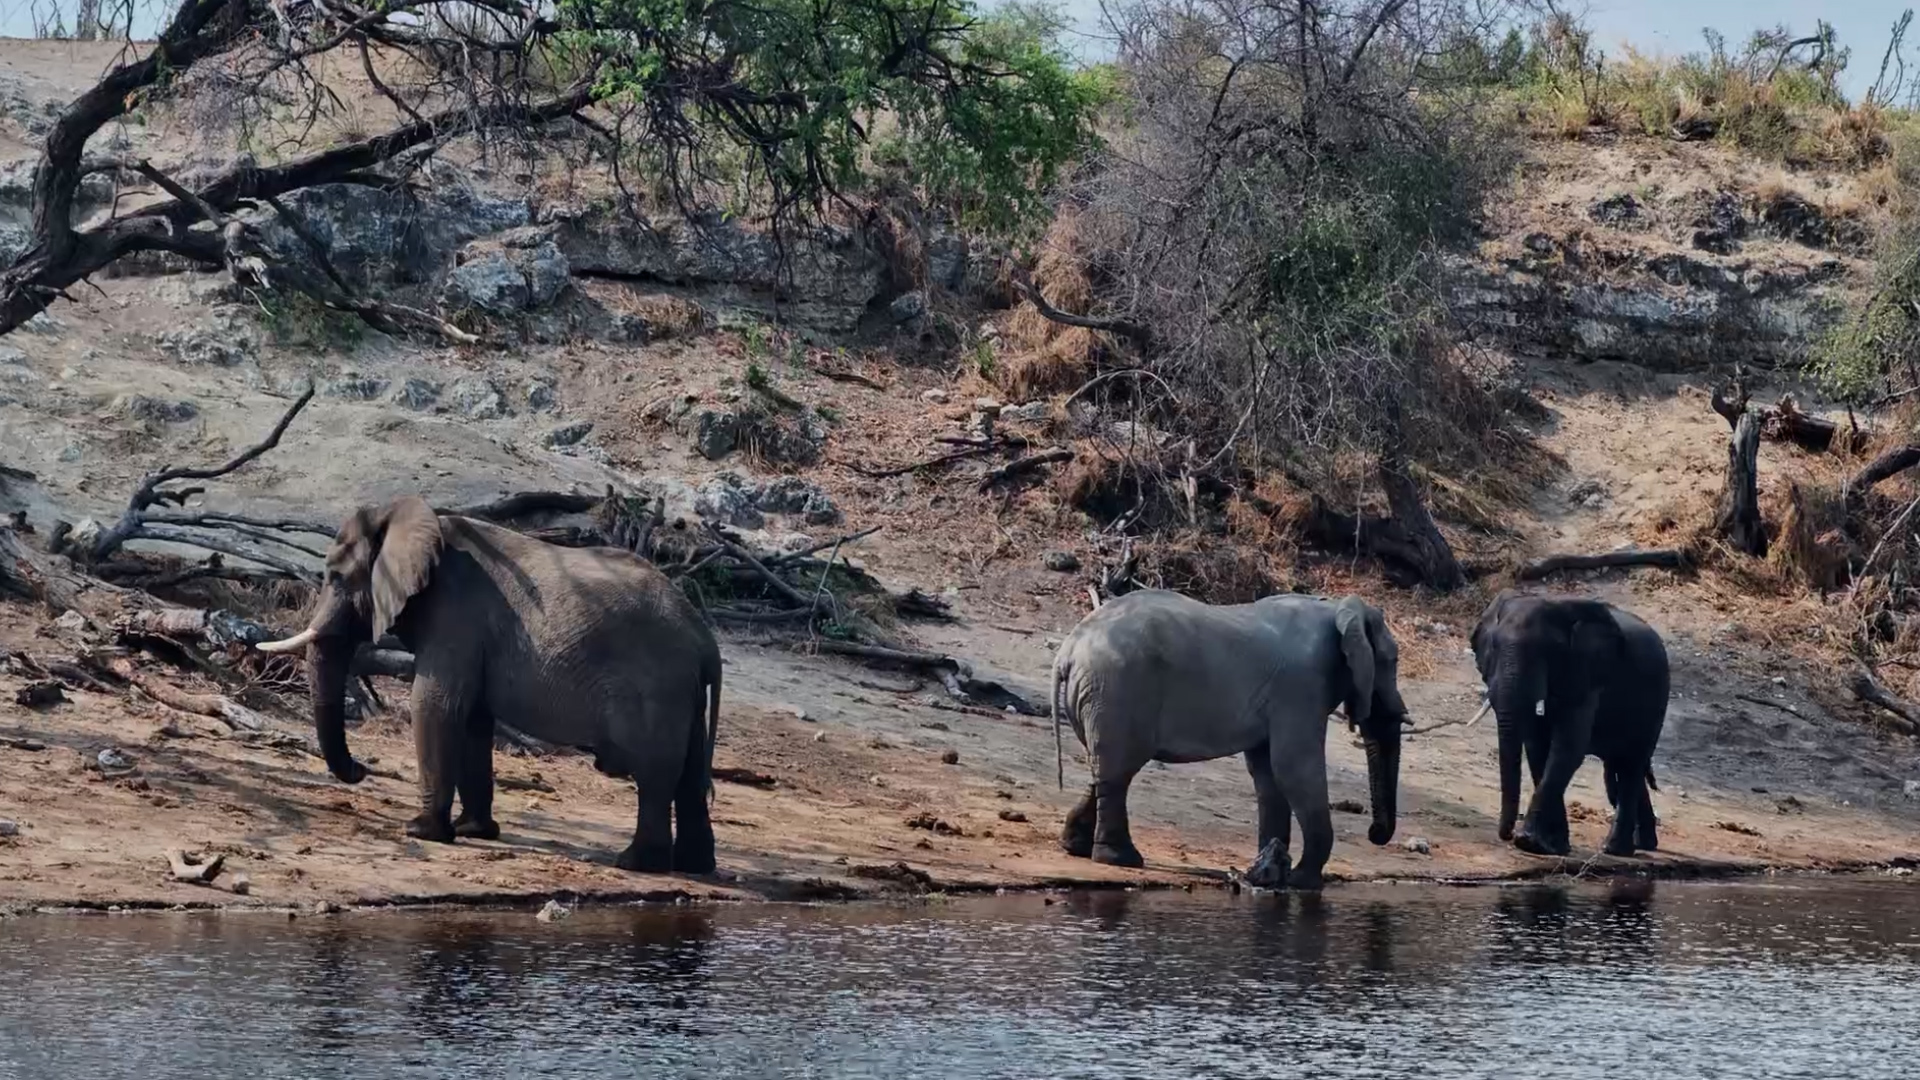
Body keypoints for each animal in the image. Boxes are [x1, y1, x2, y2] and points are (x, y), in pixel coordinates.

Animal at [256, 495, 722, 874]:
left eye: (335, 577)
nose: (361, 769)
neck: (413, 517)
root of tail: (706, 641)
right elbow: (473, 720)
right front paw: (473, 831)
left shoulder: (455, 616)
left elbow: (435, 705)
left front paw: (420, 832)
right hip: (683, 695)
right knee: (689, 774)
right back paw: (694, 866)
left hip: (659, 689)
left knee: (656, 775)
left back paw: (636, 863)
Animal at [1050, 589, 1411, 889]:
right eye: (1392, 661)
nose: (1374, 834)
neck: (1337, 608)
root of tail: (1068, 651)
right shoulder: (1301, 686)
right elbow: (1294, 769)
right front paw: (1303, 882)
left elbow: (1268, 775)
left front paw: (1272, 873)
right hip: (1118, 690)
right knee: (1119, 768)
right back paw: (1122, 859)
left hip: (1100, 697)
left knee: (1106, 769)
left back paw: (1077, 847)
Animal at [1468, 590, 1668, 859]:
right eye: (1494, 647)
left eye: (1548, 652)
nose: (1507, 835)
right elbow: (1537, 748)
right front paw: (1553, 847)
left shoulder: (1587, 676)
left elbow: (1567, 748)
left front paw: (1529, 843)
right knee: (1620, 765)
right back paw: (1642, 844)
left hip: (1657, 702)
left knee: (1631, 766)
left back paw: (1615, 850)